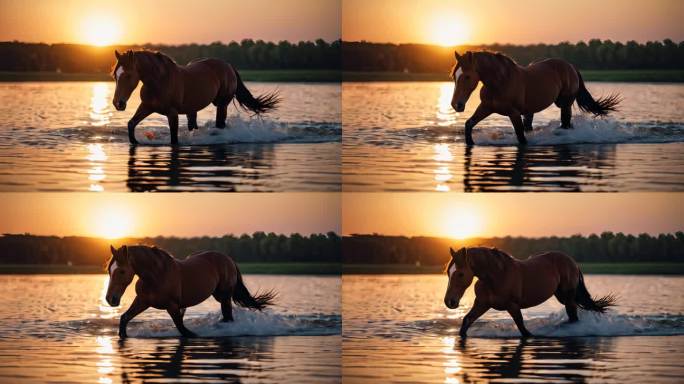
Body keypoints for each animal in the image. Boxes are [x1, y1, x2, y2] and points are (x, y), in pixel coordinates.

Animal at [104, 244, 276, 338]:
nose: (110, 299)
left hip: (225, 296)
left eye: (121, 271)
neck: (157, 275)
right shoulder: (142, 301)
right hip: (219, 296)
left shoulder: (172, 306)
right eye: (109, 270)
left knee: (228, 316)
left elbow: (183, 330)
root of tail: (228, 259)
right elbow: (124, 318)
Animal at [112, 50, 280, 146]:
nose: (118, 103)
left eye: (128, 75)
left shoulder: (172, 113)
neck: (160, 80)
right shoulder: (147, 107)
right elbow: (131, 124)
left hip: (222, 105)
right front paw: (135, 142)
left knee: (220, 125)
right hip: (192, 110)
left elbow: (174, 140)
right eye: (115, 75)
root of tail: (228, 65)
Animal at [440, 248, 616, 338]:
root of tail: (572, 262)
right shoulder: (482, 304)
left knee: (573, 318)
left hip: (568, 298)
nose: (449, 302)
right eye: (448, 272)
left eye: (460, 273)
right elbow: (466, 322)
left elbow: (523, 329)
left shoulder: (512, 306)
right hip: (562, 296)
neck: (497, 275)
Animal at [452, 51, 624, 146]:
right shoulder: (486, 108)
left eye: (467, 76)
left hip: (565, 104)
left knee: (566, 124)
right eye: (454, 75)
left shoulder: (514, 113)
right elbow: (468, 124)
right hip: (534, 111)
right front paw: (470, 143)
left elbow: (521, 137)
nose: (456, 105)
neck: (501, 81)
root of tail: (571, 66)